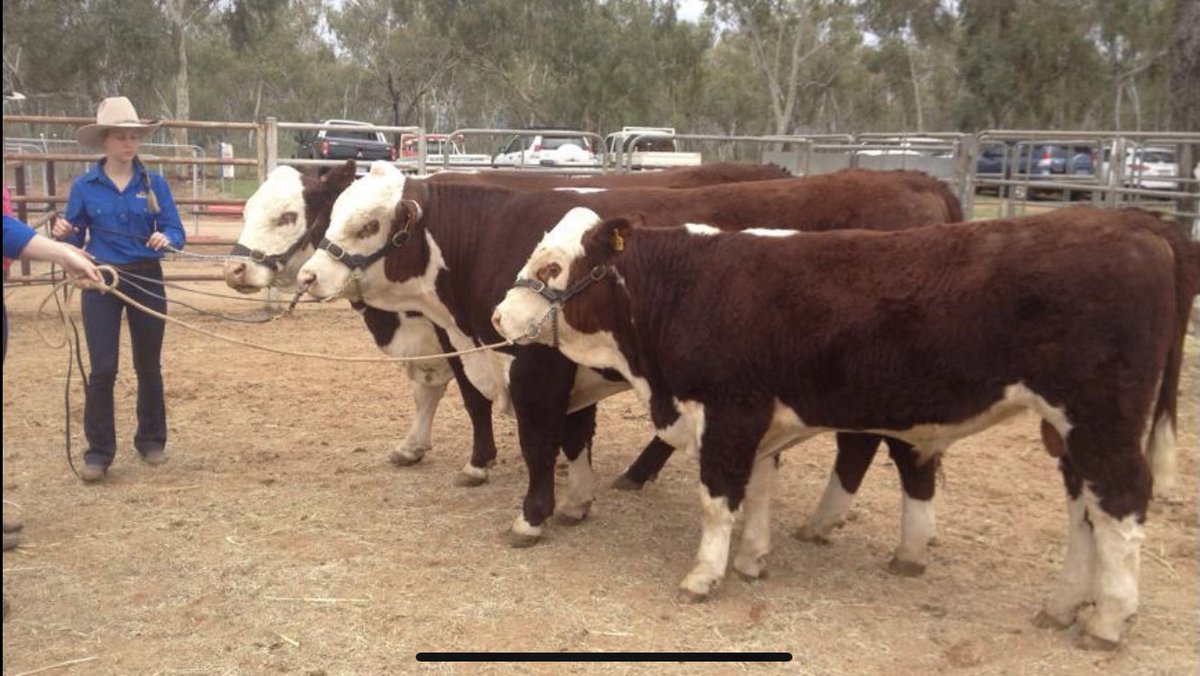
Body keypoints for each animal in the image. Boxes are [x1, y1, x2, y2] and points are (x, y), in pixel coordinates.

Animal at [224, 159, 801, 487]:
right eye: (248, 208)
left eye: (288, 216)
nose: (234, 269)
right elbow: (434, 390)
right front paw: (416, 447)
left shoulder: (485, 346)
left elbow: (470, 400)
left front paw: (478, 463)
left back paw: (639, 474)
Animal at [295, 159, 979, 576]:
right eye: (330, 214)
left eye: (368, 222)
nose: (307, 276)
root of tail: (917, 180)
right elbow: (574, 438)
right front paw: (577, 502)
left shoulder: (537, 371)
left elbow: (541, 441)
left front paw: (532, 517)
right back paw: (822, 522)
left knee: (884, 448)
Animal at [489, 207, 1200, 648]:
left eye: (551, 267)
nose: (497, 316)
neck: (691, 287)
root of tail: (1136, 222)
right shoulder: (761, 421)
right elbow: (760, 491)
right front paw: (753, 561)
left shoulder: (729, 411)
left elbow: (719, 500)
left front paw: (704, 576)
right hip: (1068, 429)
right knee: (1085, 509)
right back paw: (1062, 606)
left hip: (1101, 421)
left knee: (1120, 506)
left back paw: (1107, 621)